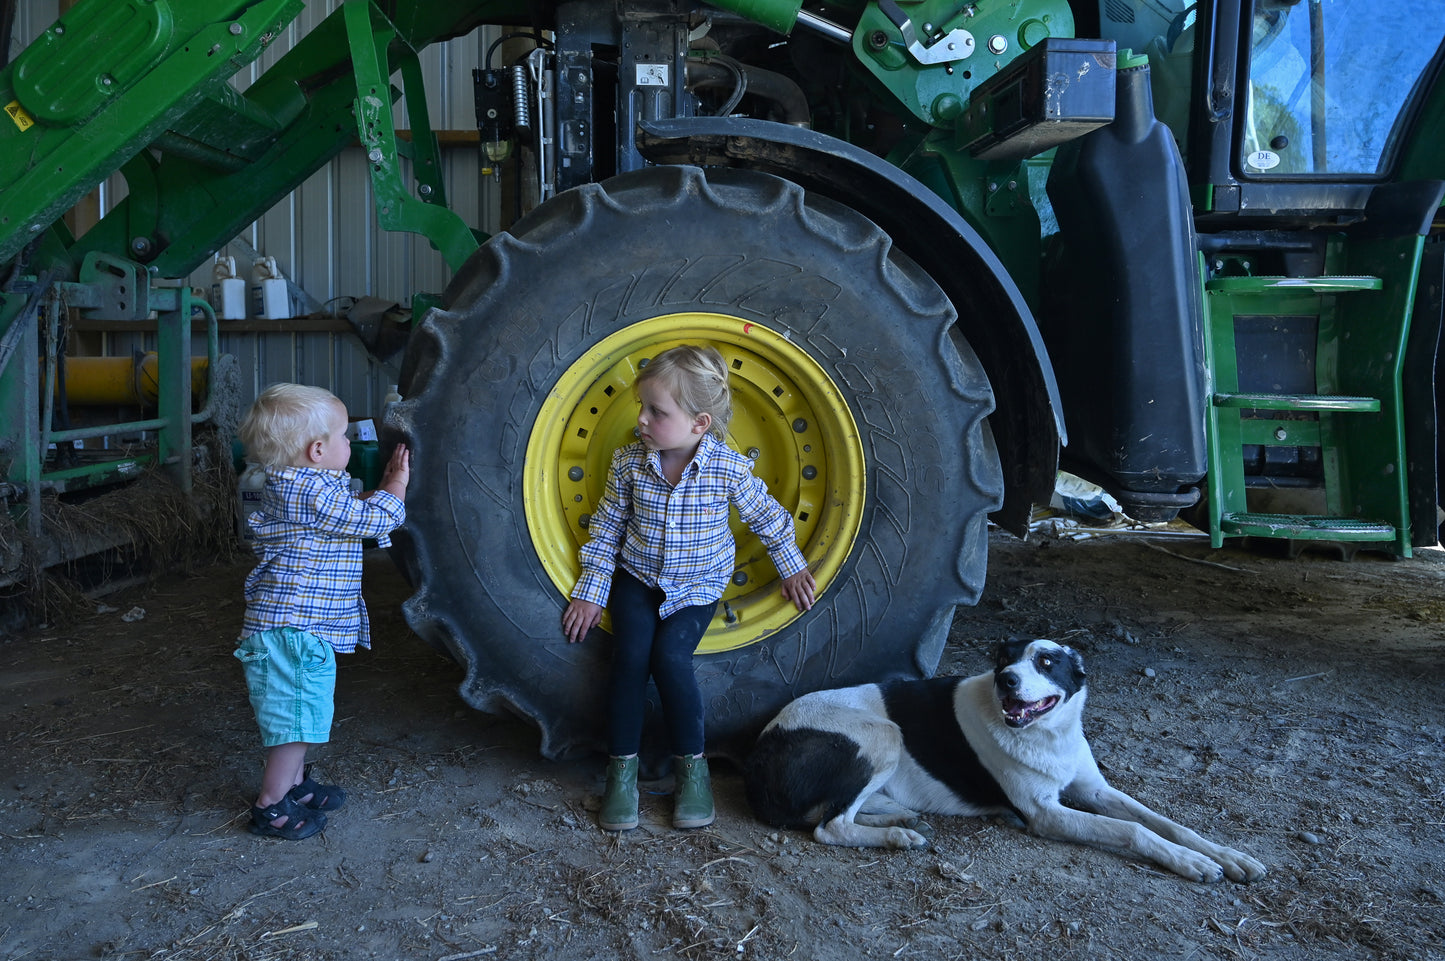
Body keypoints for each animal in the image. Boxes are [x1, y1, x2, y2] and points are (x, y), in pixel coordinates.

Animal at [745, 641, 1265, 878]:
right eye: (1003, 661)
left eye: (1047, 662)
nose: (1007, 680)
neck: (1047, 736)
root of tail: (761, 751)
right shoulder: (1046, 814)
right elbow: (1134, 830)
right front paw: (1191, 863)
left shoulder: (1095, 790)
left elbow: (1165, 822)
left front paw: (1226, 855)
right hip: (884, 734)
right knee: (829, 826)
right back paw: (896, 835)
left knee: (843, 813)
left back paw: (897, 815)